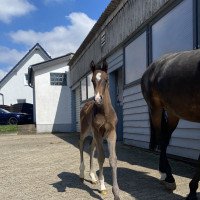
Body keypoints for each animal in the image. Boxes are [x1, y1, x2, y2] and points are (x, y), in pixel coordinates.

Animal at [79, 60, 120, 200]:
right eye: (92, 80)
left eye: (106, 79)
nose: (97, 99)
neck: (104, 113)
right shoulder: (97, 132)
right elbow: (101, 157)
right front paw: (103, 187)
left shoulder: (112, 133)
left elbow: (112, 159)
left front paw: (116, 194)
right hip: (86, 131)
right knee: (81, 145)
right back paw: (82, 174)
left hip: (96, 136)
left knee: (91, 148)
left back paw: (92, 177)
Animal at [141, 48, 200, 200]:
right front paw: (192, 191)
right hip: (155, 109)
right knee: (161, 138)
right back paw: (168, 178)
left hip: (173, 113)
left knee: (166, 139)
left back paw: (164, 174)